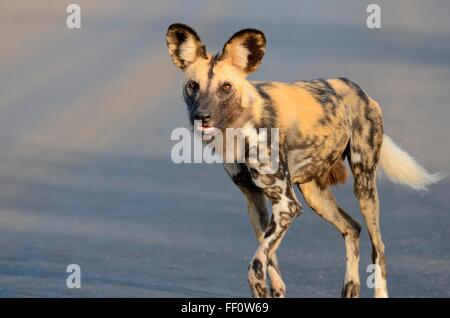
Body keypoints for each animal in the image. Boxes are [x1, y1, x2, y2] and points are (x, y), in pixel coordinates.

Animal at [166, 23, 442, 298]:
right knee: (352, 228)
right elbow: (270, 262)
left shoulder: (286, 205)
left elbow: (256, 266)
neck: (240, 126)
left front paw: (259, 285)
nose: (202, 116)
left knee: (379, 249)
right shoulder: (257, 202)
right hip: (314, 195)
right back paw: (349, 289)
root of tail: (358, 89)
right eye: (193, 86)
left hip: (364, 187)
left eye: (226, 87)